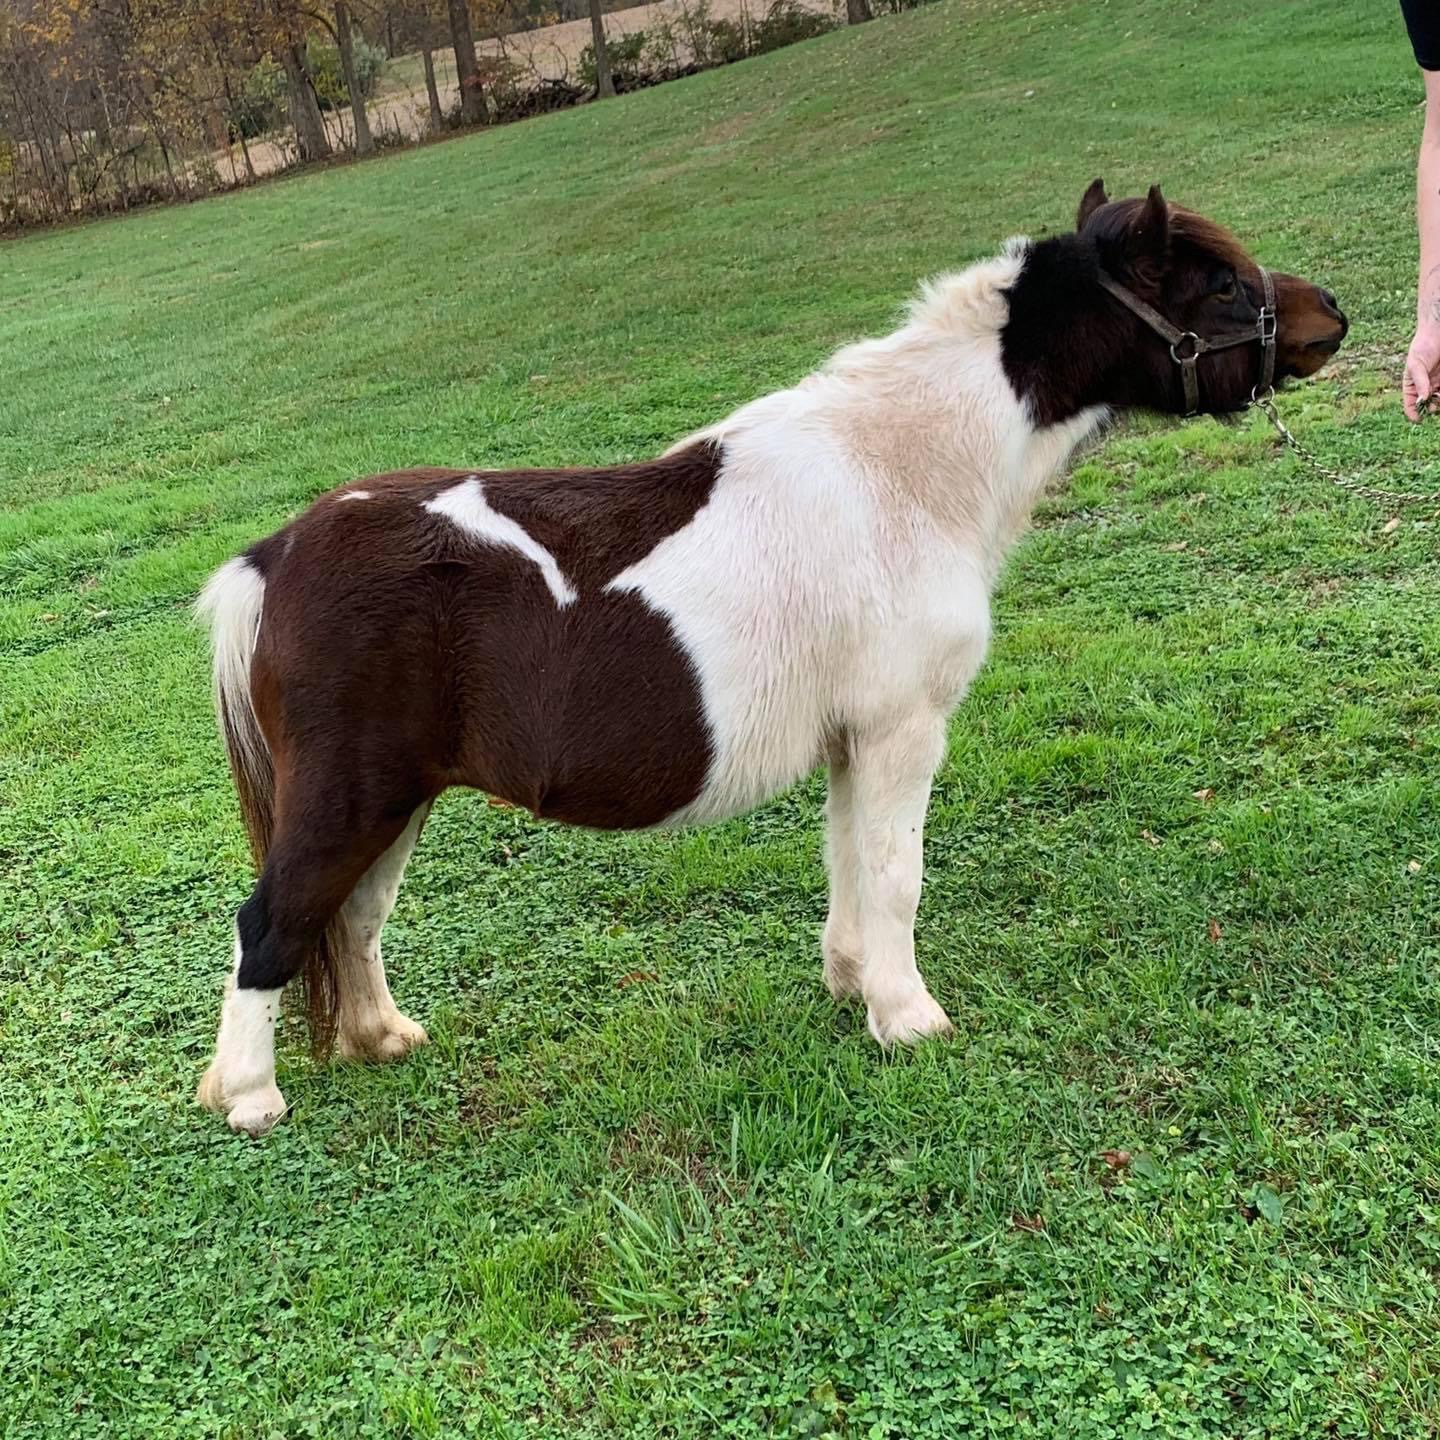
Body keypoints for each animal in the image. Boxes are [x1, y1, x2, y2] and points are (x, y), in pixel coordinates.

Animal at [194, 181, 1347, 1135]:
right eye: (1222, 283)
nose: (1330, 315)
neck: (904, 472)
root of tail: (278, 555)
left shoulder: (853, 738)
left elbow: (848, 863)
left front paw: (853, 983)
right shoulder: (902, 730)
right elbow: (896, 873)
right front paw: (909, 1018)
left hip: (398, 799)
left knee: (352, 917)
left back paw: (381, 1039)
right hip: (352, 797)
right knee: (271, 922)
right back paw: (249, 1095)